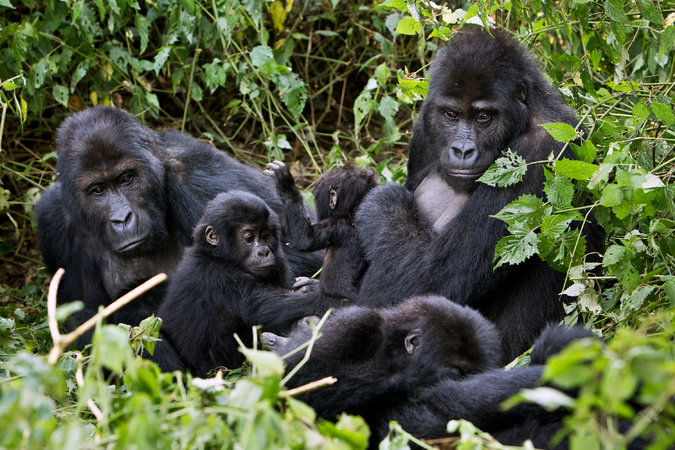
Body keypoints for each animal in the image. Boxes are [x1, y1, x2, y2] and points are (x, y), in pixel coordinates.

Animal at [35, 106, 324, 338]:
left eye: (126, 179)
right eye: (98, 190)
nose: (122, 218)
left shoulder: (198, 173)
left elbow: (302, 255)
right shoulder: (54, 219)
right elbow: (84, 321)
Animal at [156, 191, 340, 376]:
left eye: (265, 235)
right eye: (249, 238)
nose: (264, 252)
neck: (216, 255)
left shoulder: (277, 262)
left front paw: (312, 287)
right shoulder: (218, 276)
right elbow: (269, 305)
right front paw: (334, 302)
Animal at [354, 26, 604, 360]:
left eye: (484, 117)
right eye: (451, 114)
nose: (462, 150)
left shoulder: (543, 150)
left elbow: (431, 279)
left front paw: (381, 202)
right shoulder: (423, 131)